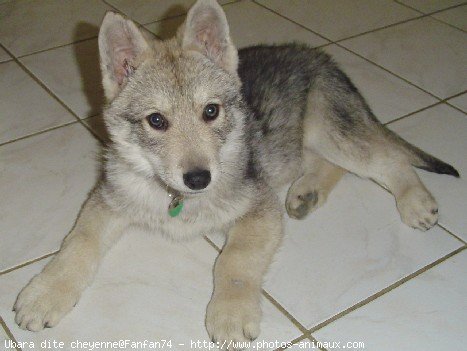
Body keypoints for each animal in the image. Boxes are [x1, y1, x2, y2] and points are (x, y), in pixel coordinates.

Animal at [13, 0, 458, 346]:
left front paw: (230, 312)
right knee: (327, 164)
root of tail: (317, 54)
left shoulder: (260, 209)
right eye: (156, 121)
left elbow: (234, 262)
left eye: (211, 111)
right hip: (307, 142)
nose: (198, 179)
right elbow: (77, 244)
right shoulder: (107, 199)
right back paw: (307, 192)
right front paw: (45, 292)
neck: (174, 199)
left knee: (388, 159)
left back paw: (416, 201)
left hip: (330, 131)